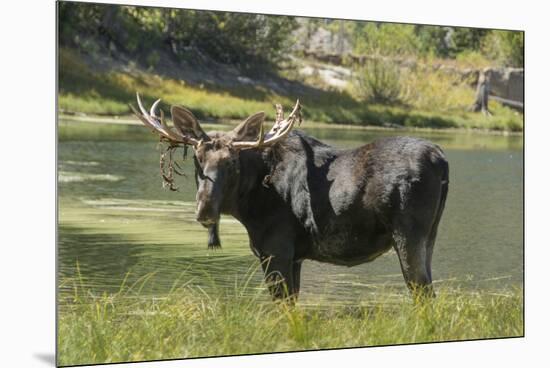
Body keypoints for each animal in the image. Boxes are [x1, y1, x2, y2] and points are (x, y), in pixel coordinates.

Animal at [132, 93, 450, 300]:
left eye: (233, 162)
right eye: (197, 159)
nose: (205, 209)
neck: (249, 205)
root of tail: (441, 158)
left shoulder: (276, 249)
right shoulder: (295, 257)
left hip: (408, 234)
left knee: (423, 294)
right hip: (430, 237)